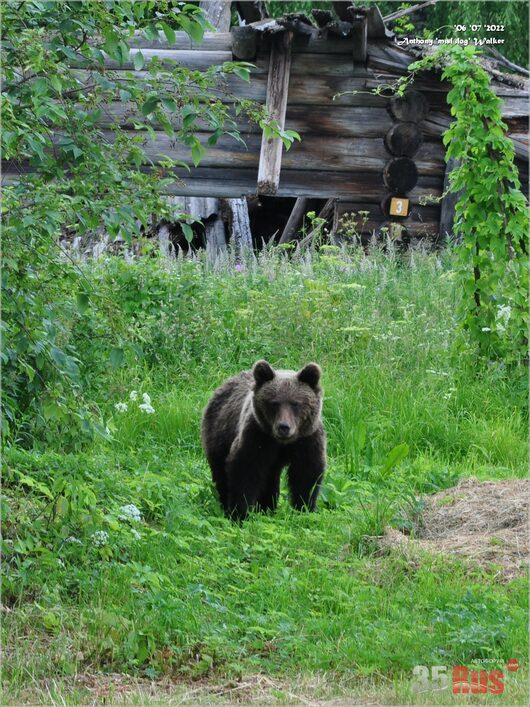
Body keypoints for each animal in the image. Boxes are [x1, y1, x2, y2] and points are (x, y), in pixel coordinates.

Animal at [202, 360, 326, 520]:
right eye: (274, 403)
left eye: (295, 403)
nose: (283, 427)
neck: (282, 443)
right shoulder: (257, 436)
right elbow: (245, 470)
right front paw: (239, 514)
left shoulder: (307, 440)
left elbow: (307, 474)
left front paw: (304, 509)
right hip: (218, 434)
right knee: (220, 473)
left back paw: (267, 508)